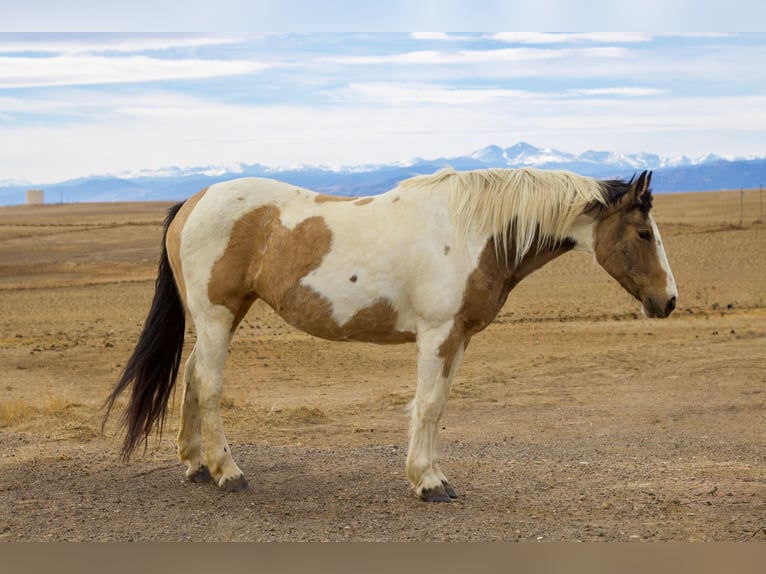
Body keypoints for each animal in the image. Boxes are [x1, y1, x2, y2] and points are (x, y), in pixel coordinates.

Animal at [104, 167, 677, 502]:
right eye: (643, 233)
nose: (668, 301)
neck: (473, 231)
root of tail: (194, 201)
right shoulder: (438, 334)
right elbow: (428, 405)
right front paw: (428, 482)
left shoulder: (459, 338)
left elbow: (439, 404)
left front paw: (433, 474)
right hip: (217, 316)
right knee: (210, 386)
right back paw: (227, 472)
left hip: (217, 318)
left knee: (192, 377)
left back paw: (195, 465)